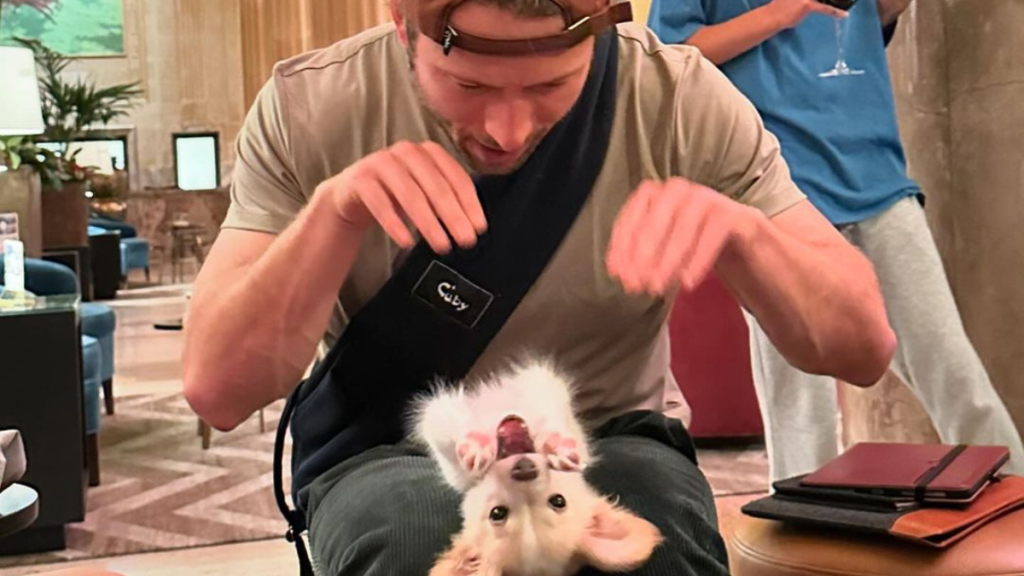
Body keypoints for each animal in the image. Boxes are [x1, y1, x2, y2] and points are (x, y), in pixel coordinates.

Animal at [407, 356, 663, 569]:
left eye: (558, 501)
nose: (524, 469)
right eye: (498, 513)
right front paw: (476, 445)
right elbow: (447, 440)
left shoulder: (546, 390)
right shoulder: (454, 465)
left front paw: (554, 442)